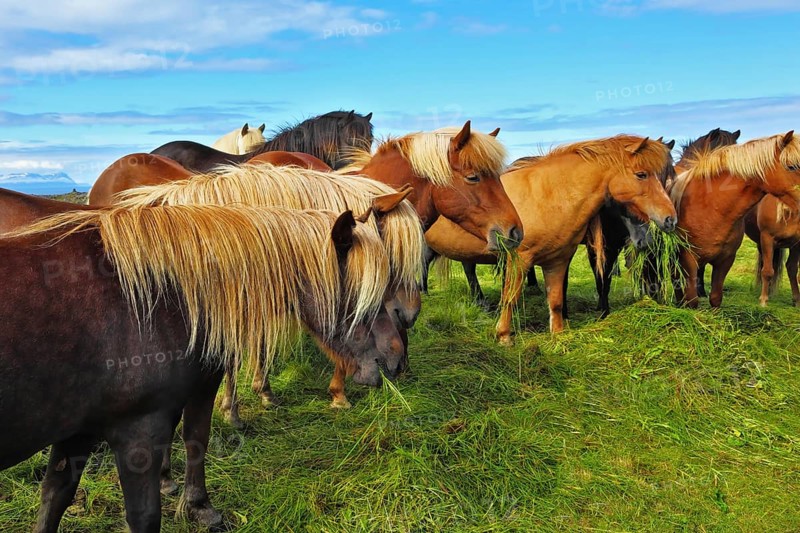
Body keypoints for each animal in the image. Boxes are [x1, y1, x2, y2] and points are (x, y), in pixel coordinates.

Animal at [0, 203, 404, 532]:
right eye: (367, 295)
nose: (396, 361)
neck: (156, 298)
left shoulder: (78, 431)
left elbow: (54, 499)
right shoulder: (138, 431)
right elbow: (154, 500)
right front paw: (199, 507)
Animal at [423, 135, 677, 342]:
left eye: (668, 176)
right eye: (641, 174)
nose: (670, 219)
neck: (549, 194)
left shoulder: (558, 260)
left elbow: (555, 300)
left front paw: (559, 334)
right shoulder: (519, 259)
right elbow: (510, 298)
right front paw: (504, 336)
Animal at [670, 131, 800, 308]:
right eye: (791, 166)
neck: (712, 207)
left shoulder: (726, 259)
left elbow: (716, 298)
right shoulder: (687, 259)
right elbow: (691, 300)